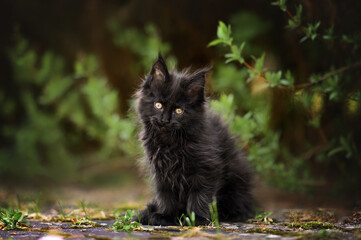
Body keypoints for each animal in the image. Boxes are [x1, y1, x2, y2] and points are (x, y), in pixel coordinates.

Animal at [134, 53, 255, 226]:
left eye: (179, 110)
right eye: (158, 105)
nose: (165, 120)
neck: (171, 142)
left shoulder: (206, 168)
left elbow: (200, 194)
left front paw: (197, 218)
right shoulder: (160, 171)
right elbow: (165, 195)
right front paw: (165, 216)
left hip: (235, 188)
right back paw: (148, 214)